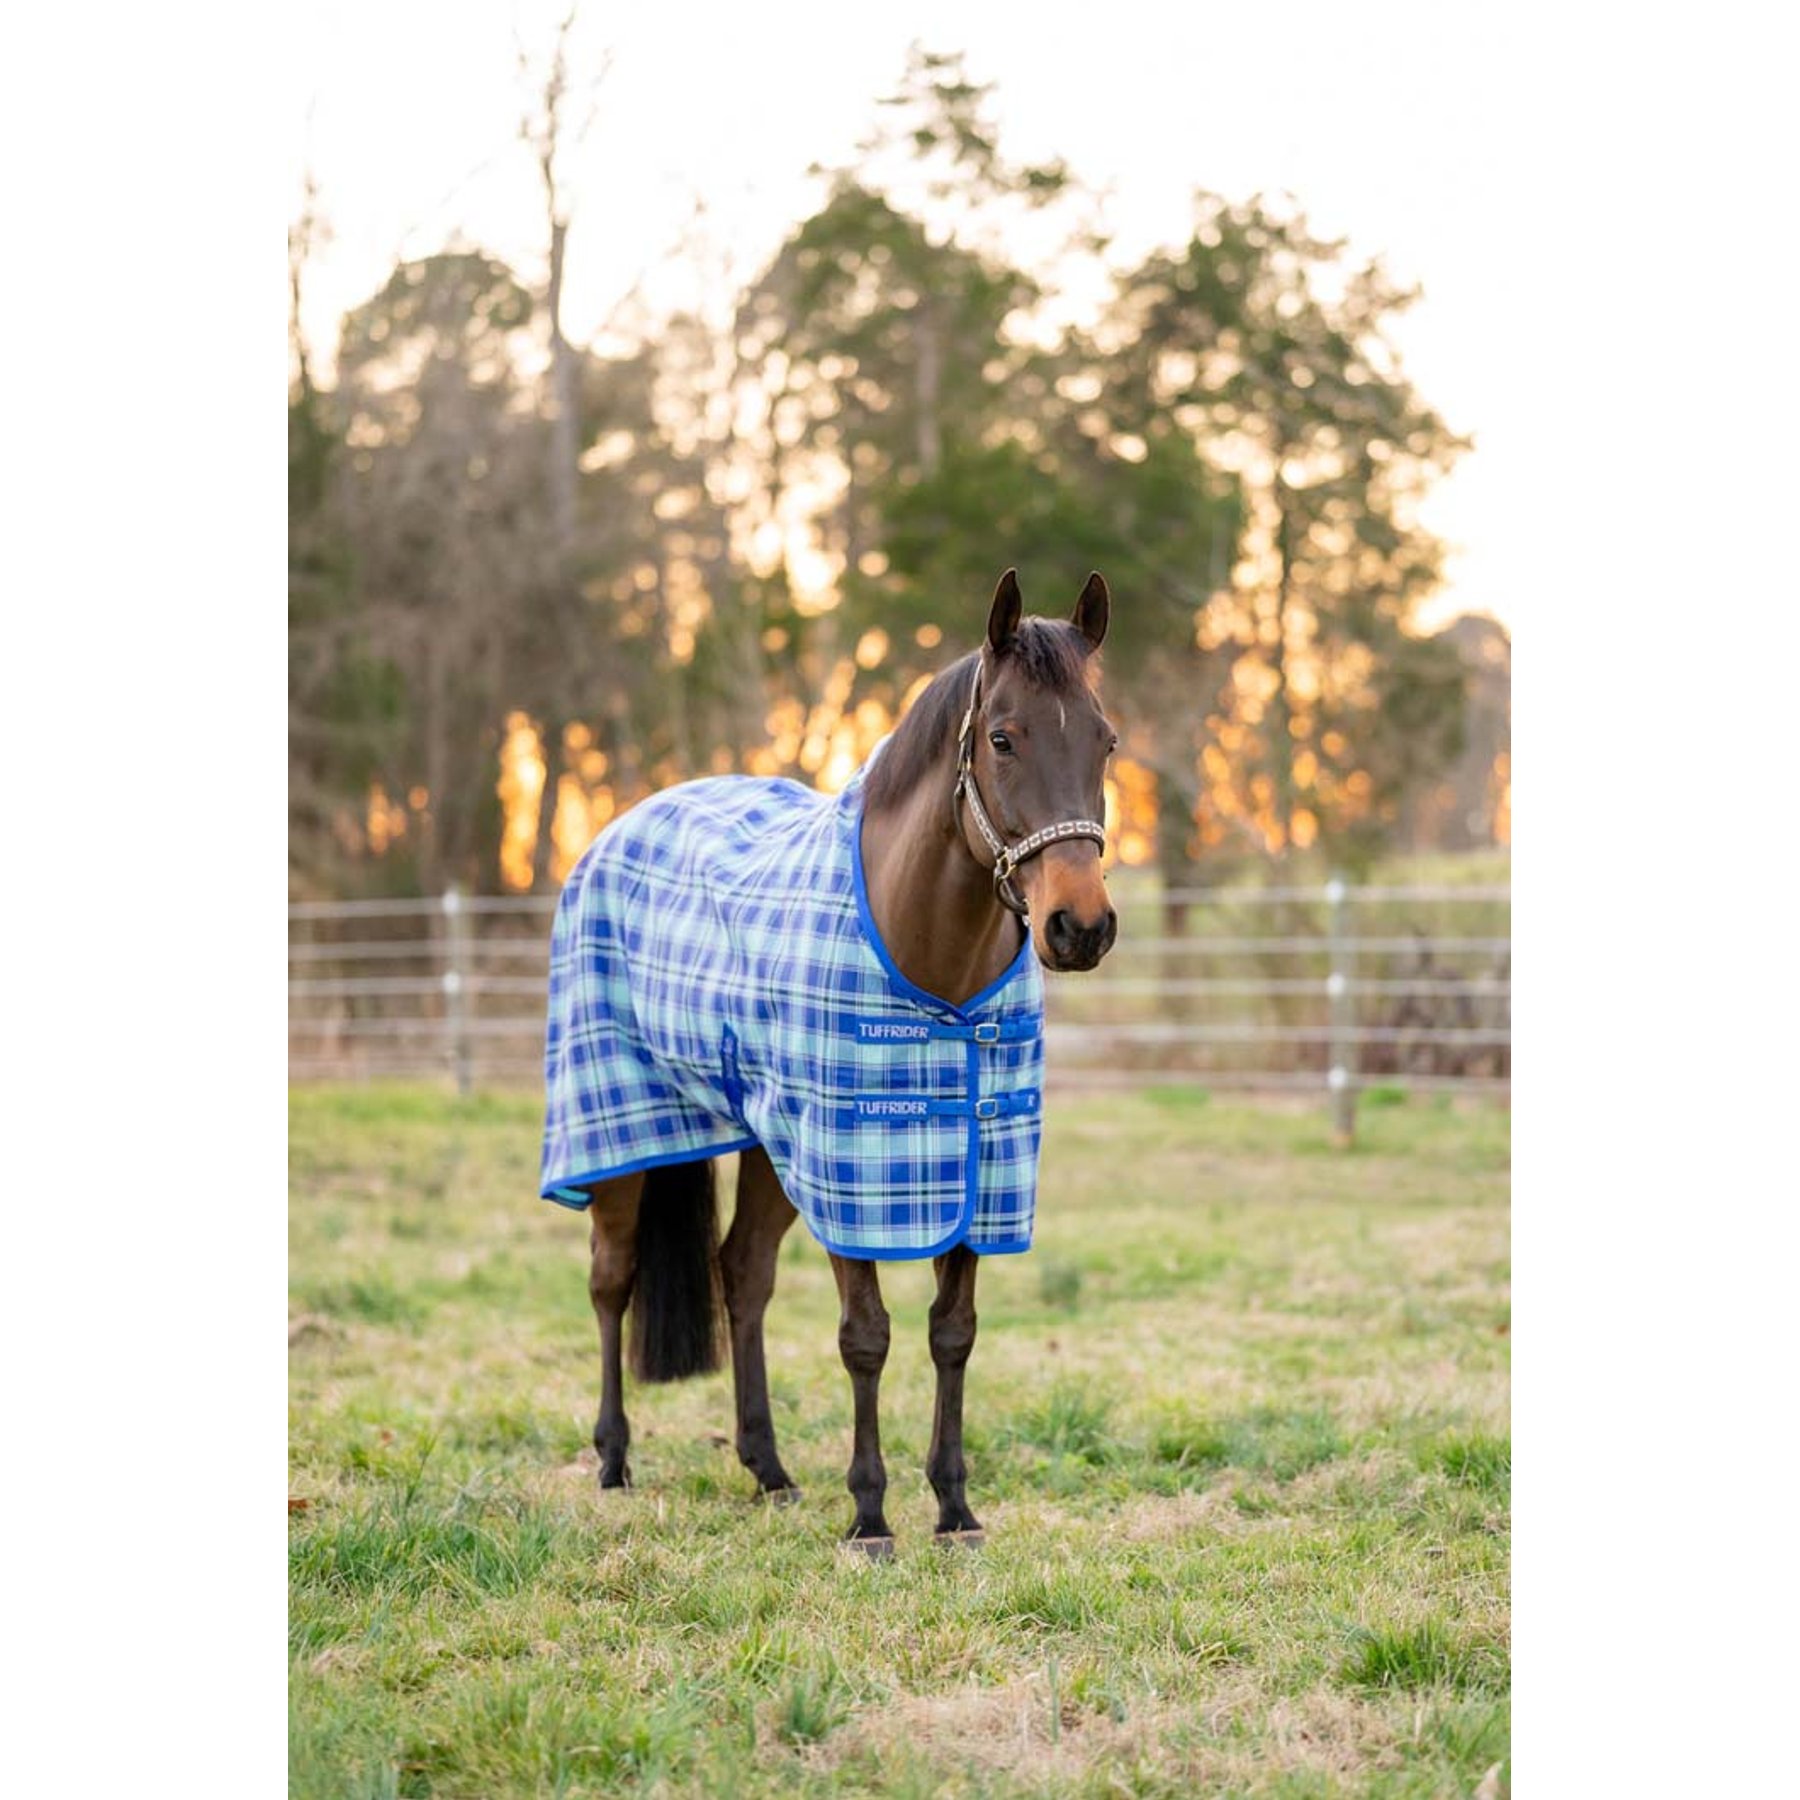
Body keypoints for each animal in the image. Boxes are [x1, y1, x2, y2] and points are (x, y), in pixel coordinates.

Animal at [539, 569, 1120, 1555]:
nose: (1079, 926)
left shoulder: (971, 1172)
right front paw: (871, 1516)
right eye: (1002, 737)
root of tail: (623, 825)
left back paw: (767, 1470)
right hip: (622, 1133)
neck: (932, 967)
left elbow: (952, 1332)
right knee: (610, 1280)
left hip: (767, 1146)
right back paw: (614, 1461)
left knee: (742, 1276)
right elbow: (866, 1337)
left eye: (1107, 740)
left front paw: (954, 1509)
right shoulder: (855, 1169)